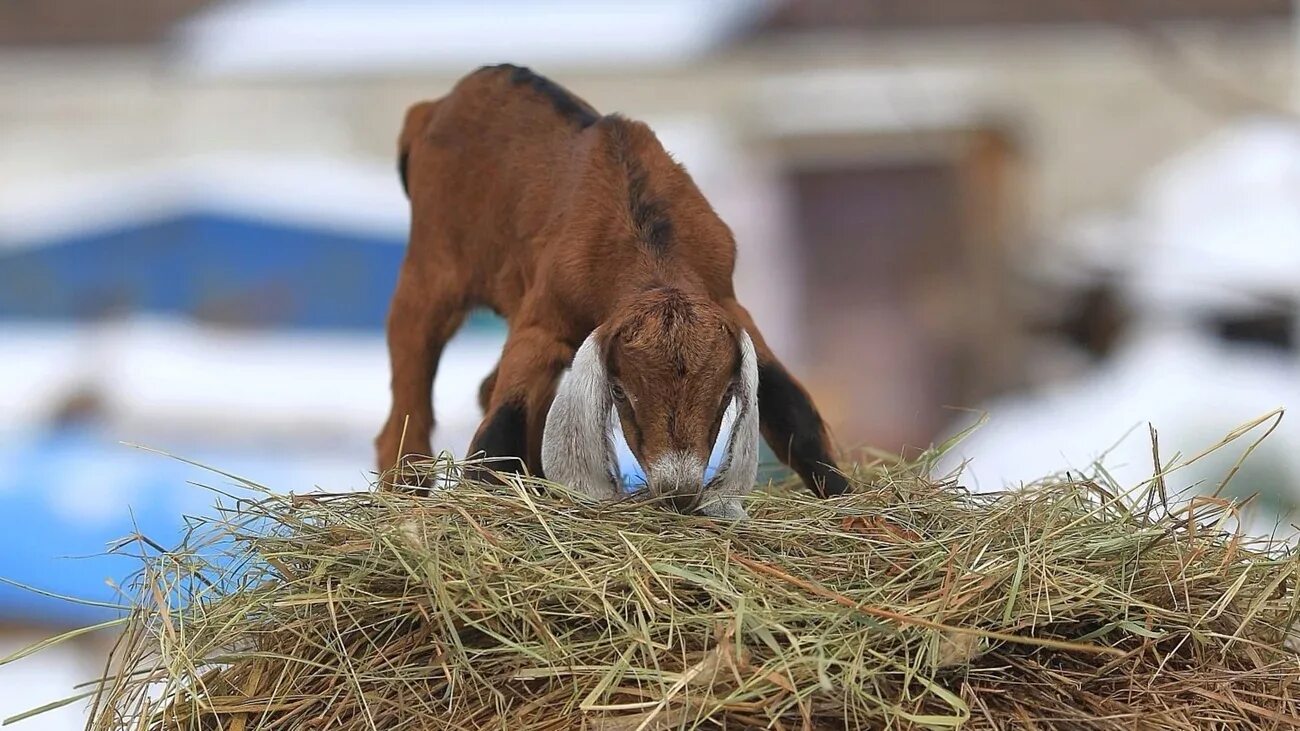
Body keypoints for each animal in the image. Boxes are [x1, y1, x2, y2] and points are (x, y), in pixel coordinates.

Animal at [379, 65, 842, 515]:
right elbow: (500, 429)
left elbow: (793, 411)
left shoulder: (728, 301)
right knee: (409, 397)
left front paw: (845, 499)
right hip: (430, 269)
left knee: (484, 388)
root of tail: (430, 110)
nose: (678, 492)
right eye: (619, 391)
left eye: (727, 392)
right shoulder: (543, 322)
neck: (643, 241)